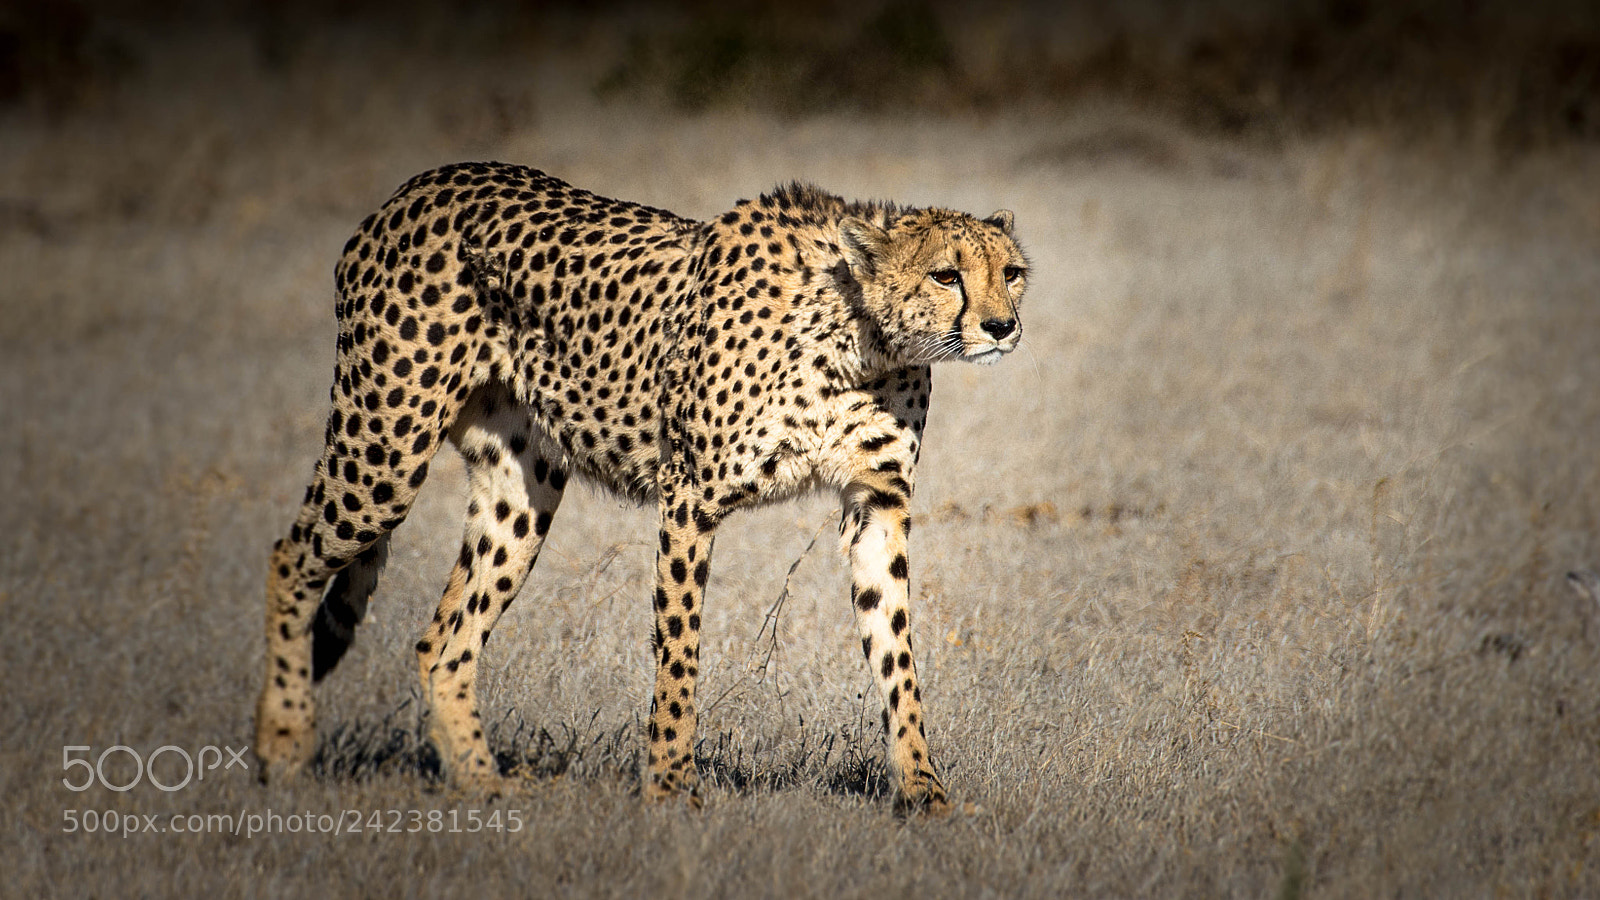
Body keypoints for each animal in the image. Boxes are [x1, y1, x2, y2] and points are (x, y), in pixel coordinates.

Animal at [254, 161, 1027, 813]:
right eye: (947, 276)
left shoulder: (877, 504)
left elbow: (897, 654)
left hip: (521, 490)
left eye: (1013, 272)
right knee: (291, 557)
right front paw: (670, 788)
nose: (1002, 326)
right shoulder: (690, 497)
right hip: (384, 451)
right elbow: (680, 650)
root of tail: (415, 188)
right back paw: (284, 740)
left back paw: (481, 782)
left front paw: (924, 791)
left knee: (443, 641)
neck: (860, 339)